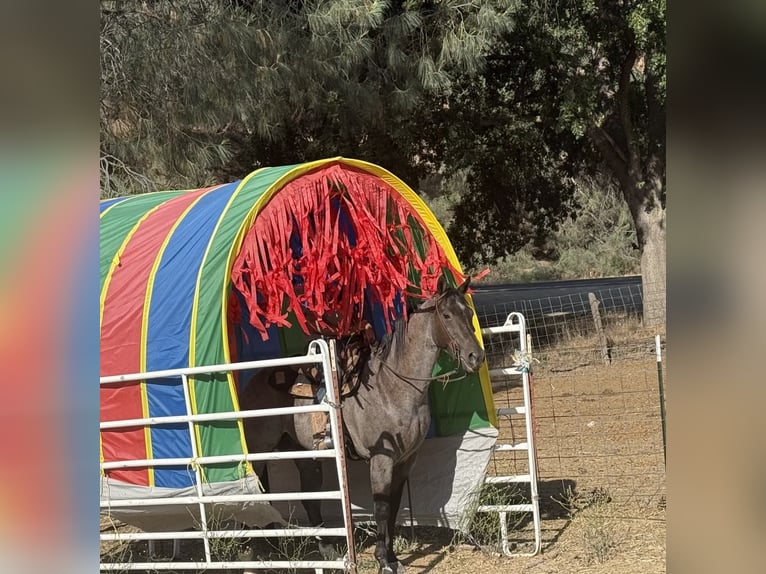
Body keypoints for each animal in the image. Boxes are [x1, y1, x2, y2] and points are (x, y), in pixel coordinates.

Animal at [240, 275, 485, 573]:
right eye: (447, 315)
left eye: (468, 313)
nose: (476, 357)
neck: (393, 387)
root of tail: (254, 381)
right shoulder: (381, 459)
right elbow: (381, 508)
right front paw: (383, 561)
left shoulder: (405, 461)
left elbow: (392, 508)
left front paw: (392, 557)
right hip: (259, 452)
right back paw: (259, 549)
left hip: (303, 454)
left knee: (309, 499)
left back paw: (324, 550)